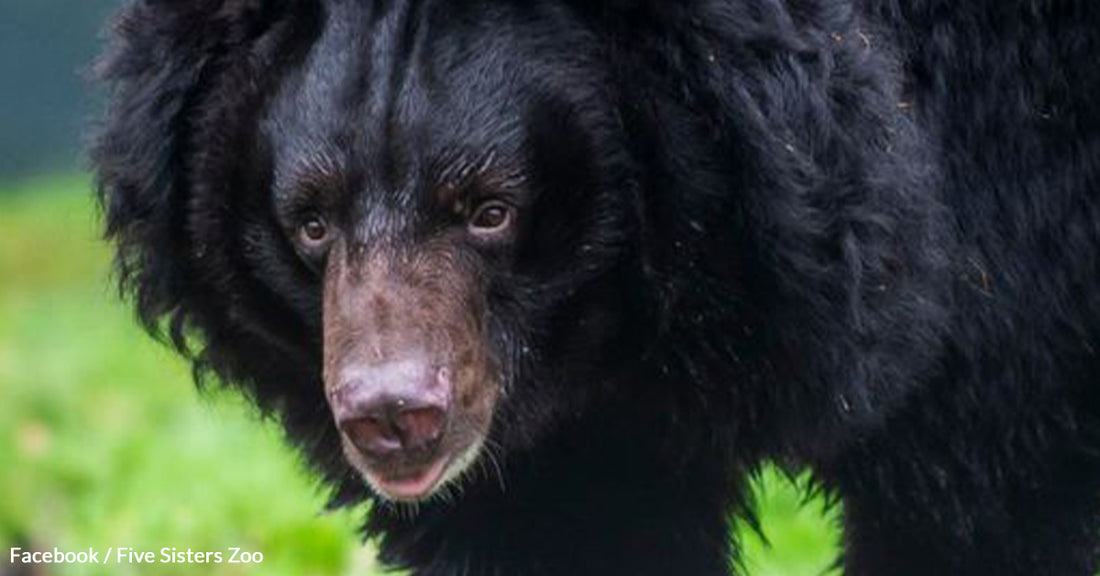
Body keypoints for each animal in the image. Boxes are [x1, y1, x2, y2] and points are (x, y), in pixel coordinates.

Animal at [91, 0, 1100, 574]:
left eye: (490, 211)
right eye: (311, 221)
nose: (393, 419)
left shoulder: (1020, 251)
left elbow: (992, 506)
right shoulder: (566, 443)